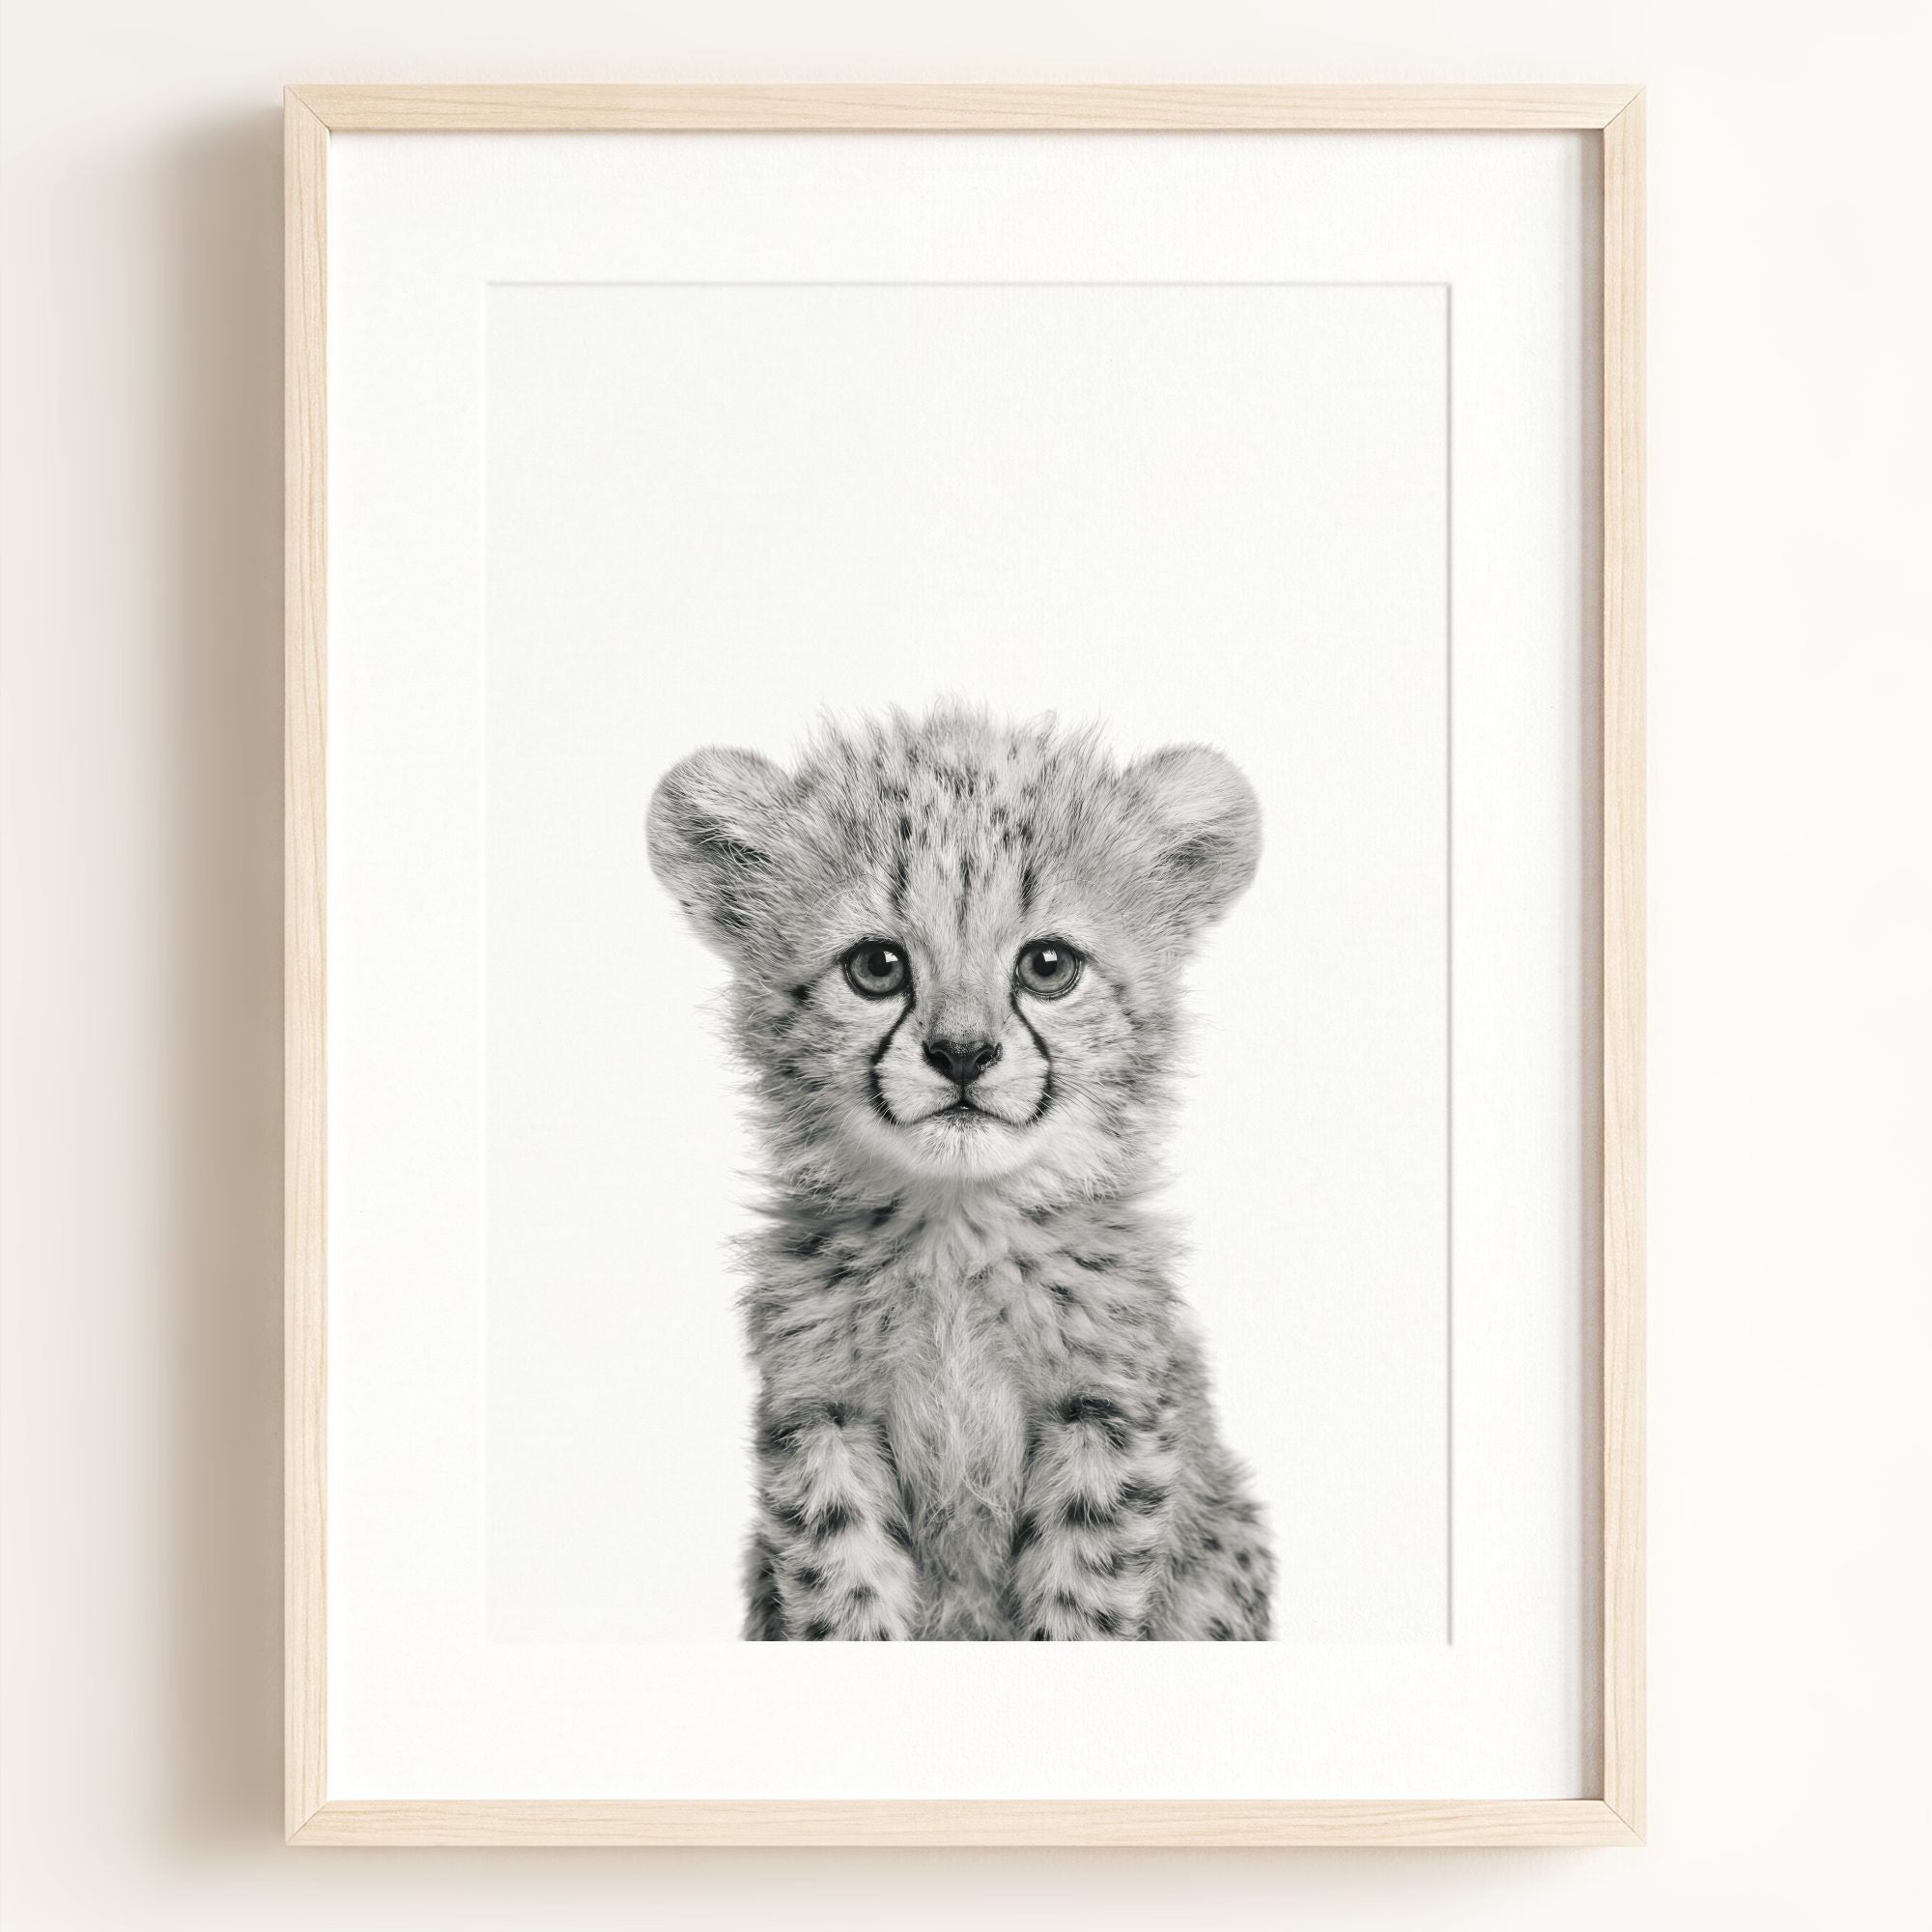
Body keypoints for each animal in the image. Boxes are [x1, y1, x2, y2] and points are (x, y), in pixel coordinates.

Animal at [648, 703, 1274, 1639]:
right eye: (877, 967)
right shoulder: (821, 1419)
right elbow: (844, 1593)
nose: (963, 1054)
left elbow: (1082, 1600)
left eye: (1048, 966)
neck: (956, 1226)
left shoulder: (1106, 1415)